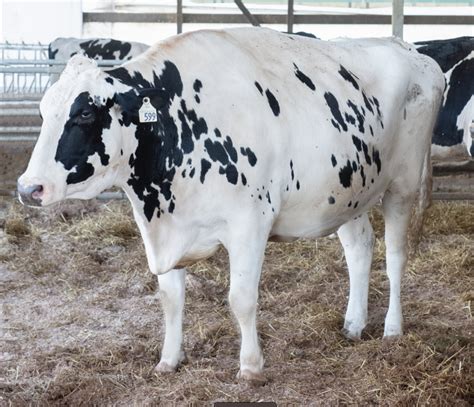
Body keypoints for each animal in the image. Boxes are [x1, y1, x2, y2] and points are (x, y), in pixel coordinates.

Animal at [16, 28, 442, 382]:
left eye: (85, 112)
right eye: (43, 111)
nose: (28, 187)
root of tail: (411, 50)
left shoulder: (249, 224)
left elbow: (241, 299)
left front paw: (251, 367)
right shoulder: (168, 225)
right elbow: (171, 299)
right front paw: (168, 360)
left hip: (403, 184)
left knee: (396, 255)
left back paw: (392, 329)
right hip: (348, 190)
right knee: (360, 248)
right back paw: (354, 324)